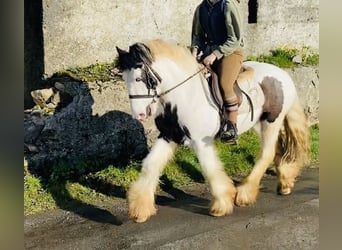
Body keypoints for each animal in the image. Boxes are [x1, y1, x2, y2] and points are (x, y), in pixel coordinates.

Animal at [116, 39, 308, 223]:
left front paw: (222, 204)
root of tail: (282, 74)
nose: (139, 115)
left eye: (139, 79)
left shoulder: (201, 141)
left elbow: (209, 169)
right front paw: (139, 210)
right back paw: (285, 183)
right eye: (125, 78)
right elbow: (151, 165)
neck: (184, 95)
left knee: (267, 153)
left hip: (272, 122)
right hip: (259, 124)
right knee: (278, 148)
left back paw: (245, 194)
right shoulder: (168, 136)